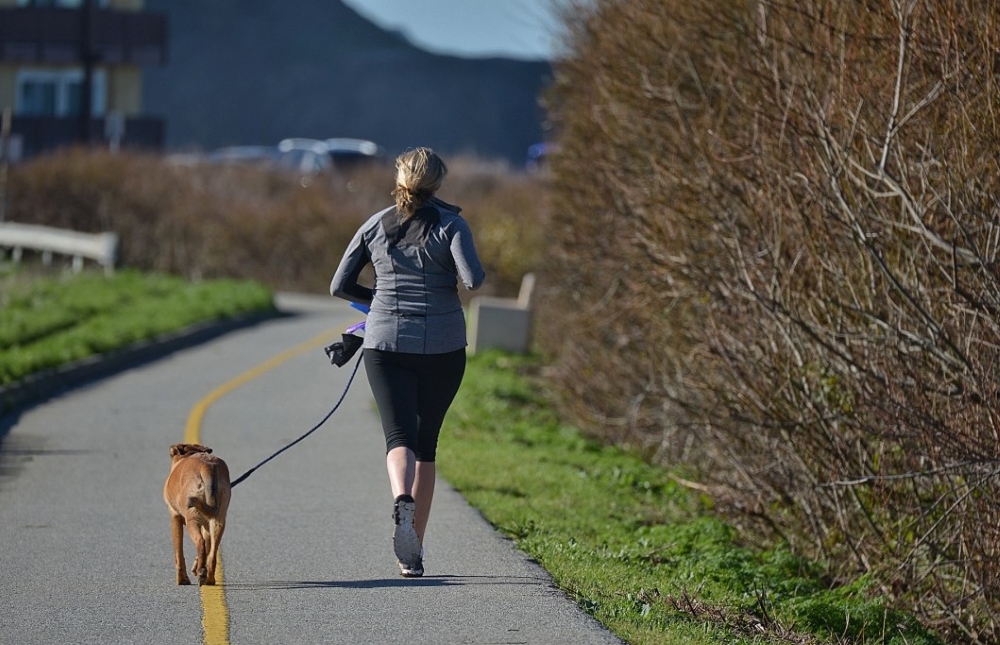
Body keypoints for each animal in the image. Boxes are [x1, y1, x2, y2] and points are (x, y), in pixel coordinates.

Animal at [163, 442, 231, 584]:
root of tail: (207, 467)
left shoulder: (175, 517)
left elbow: (178, 553)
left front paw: (182, 579)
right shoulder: (206, 525)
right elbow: (207, 549)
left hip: (192, 520)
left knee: (200, 543)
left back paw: (201, 573)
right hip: (218, 522)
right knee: (212, 554)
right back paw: (209, 578)